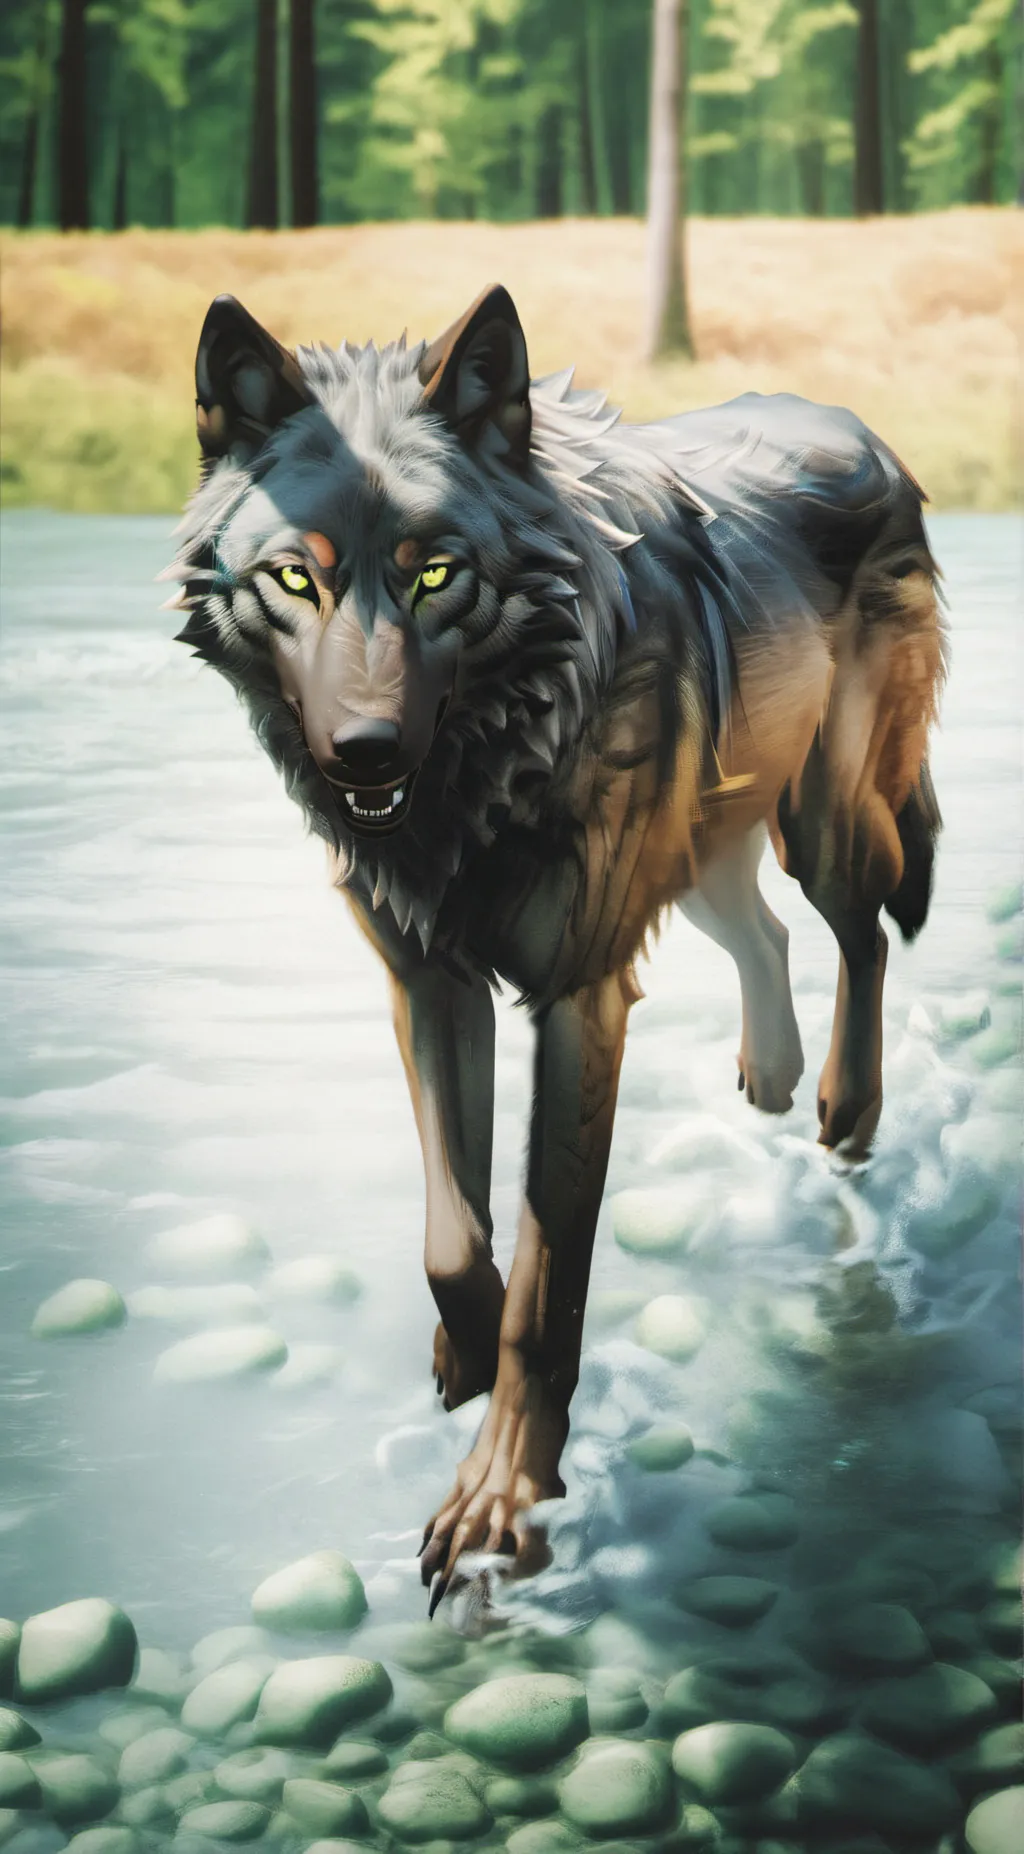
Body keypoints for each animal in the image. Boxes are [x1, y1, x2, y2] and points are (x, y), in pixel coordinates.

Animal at [166, 285, 945, 1609]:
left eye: (434, 573)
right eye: (295, 579)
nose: (366, 753)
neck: (484, 774)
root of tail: (859, 427)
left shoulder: (579, 998)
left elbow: (548, 1280)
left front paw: (500, 1503)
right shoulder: (430, 983)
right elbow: (452, 1233)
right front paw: (462, 1350)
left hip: (824, 828)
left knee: (862, 927)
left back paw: (843, 1107)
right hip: (703, 852)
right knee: (765, 932)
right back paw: (773, 1076)